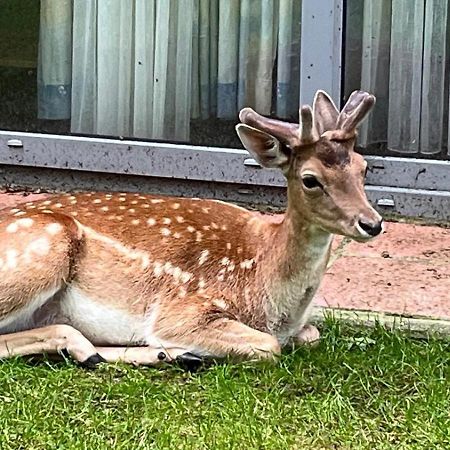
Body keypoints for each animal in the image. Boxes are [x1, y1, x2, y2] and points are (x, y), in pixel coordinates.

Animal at [0, 90, 384, 370]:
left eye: (364, 167)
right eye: (310, 179)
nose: (372, 223)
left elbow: (312, 334)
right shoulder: (183, 310)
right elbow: (269, 345)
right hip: (43, 247)